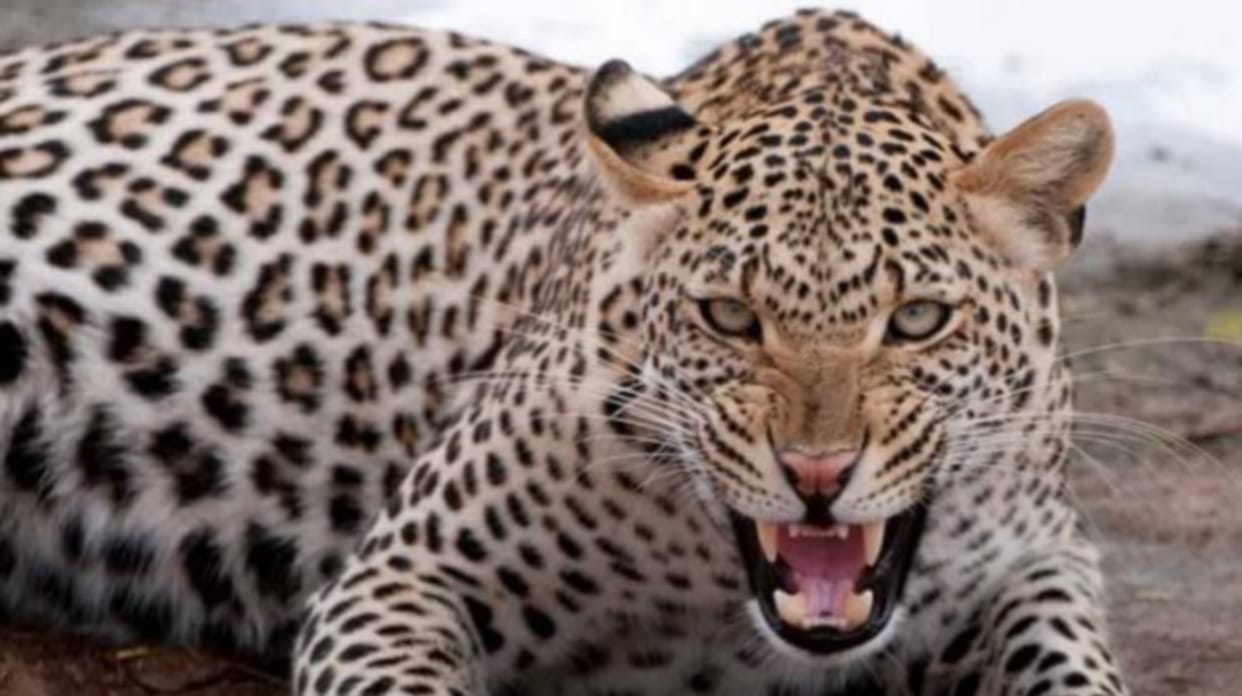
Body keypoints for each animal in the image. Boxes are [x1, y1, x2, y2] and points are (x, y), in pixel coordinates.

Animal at [0, 8, 1126, 696]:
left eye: (918, 319)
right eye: (728, 317)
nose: (816, 473)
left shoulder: (1039, 564)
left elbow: (1075, 669)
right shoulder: (402, 573)